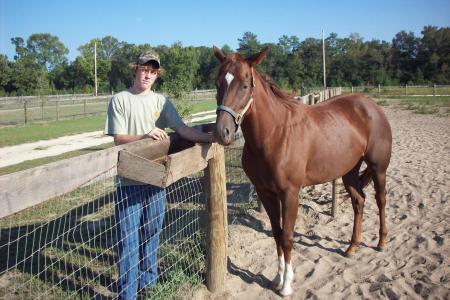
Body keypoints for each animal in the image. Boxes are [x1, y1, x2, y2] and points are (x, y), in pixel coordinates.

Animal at [213, 45, 392, 296]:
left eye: (245, 85)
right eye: (218, 83)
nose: (223, 132)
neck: (274, 134)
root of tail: (371, 106)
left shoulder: (290, 194)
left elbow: (288, 237)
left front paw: (287, 285)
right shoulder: (266, 193)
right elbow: (277, 234)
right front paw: (277, 278)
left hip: (378, 168)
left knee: (381, 200)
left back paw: (381, 243)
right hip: (349, 171)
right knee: (359, 201)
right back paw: (352, 247)